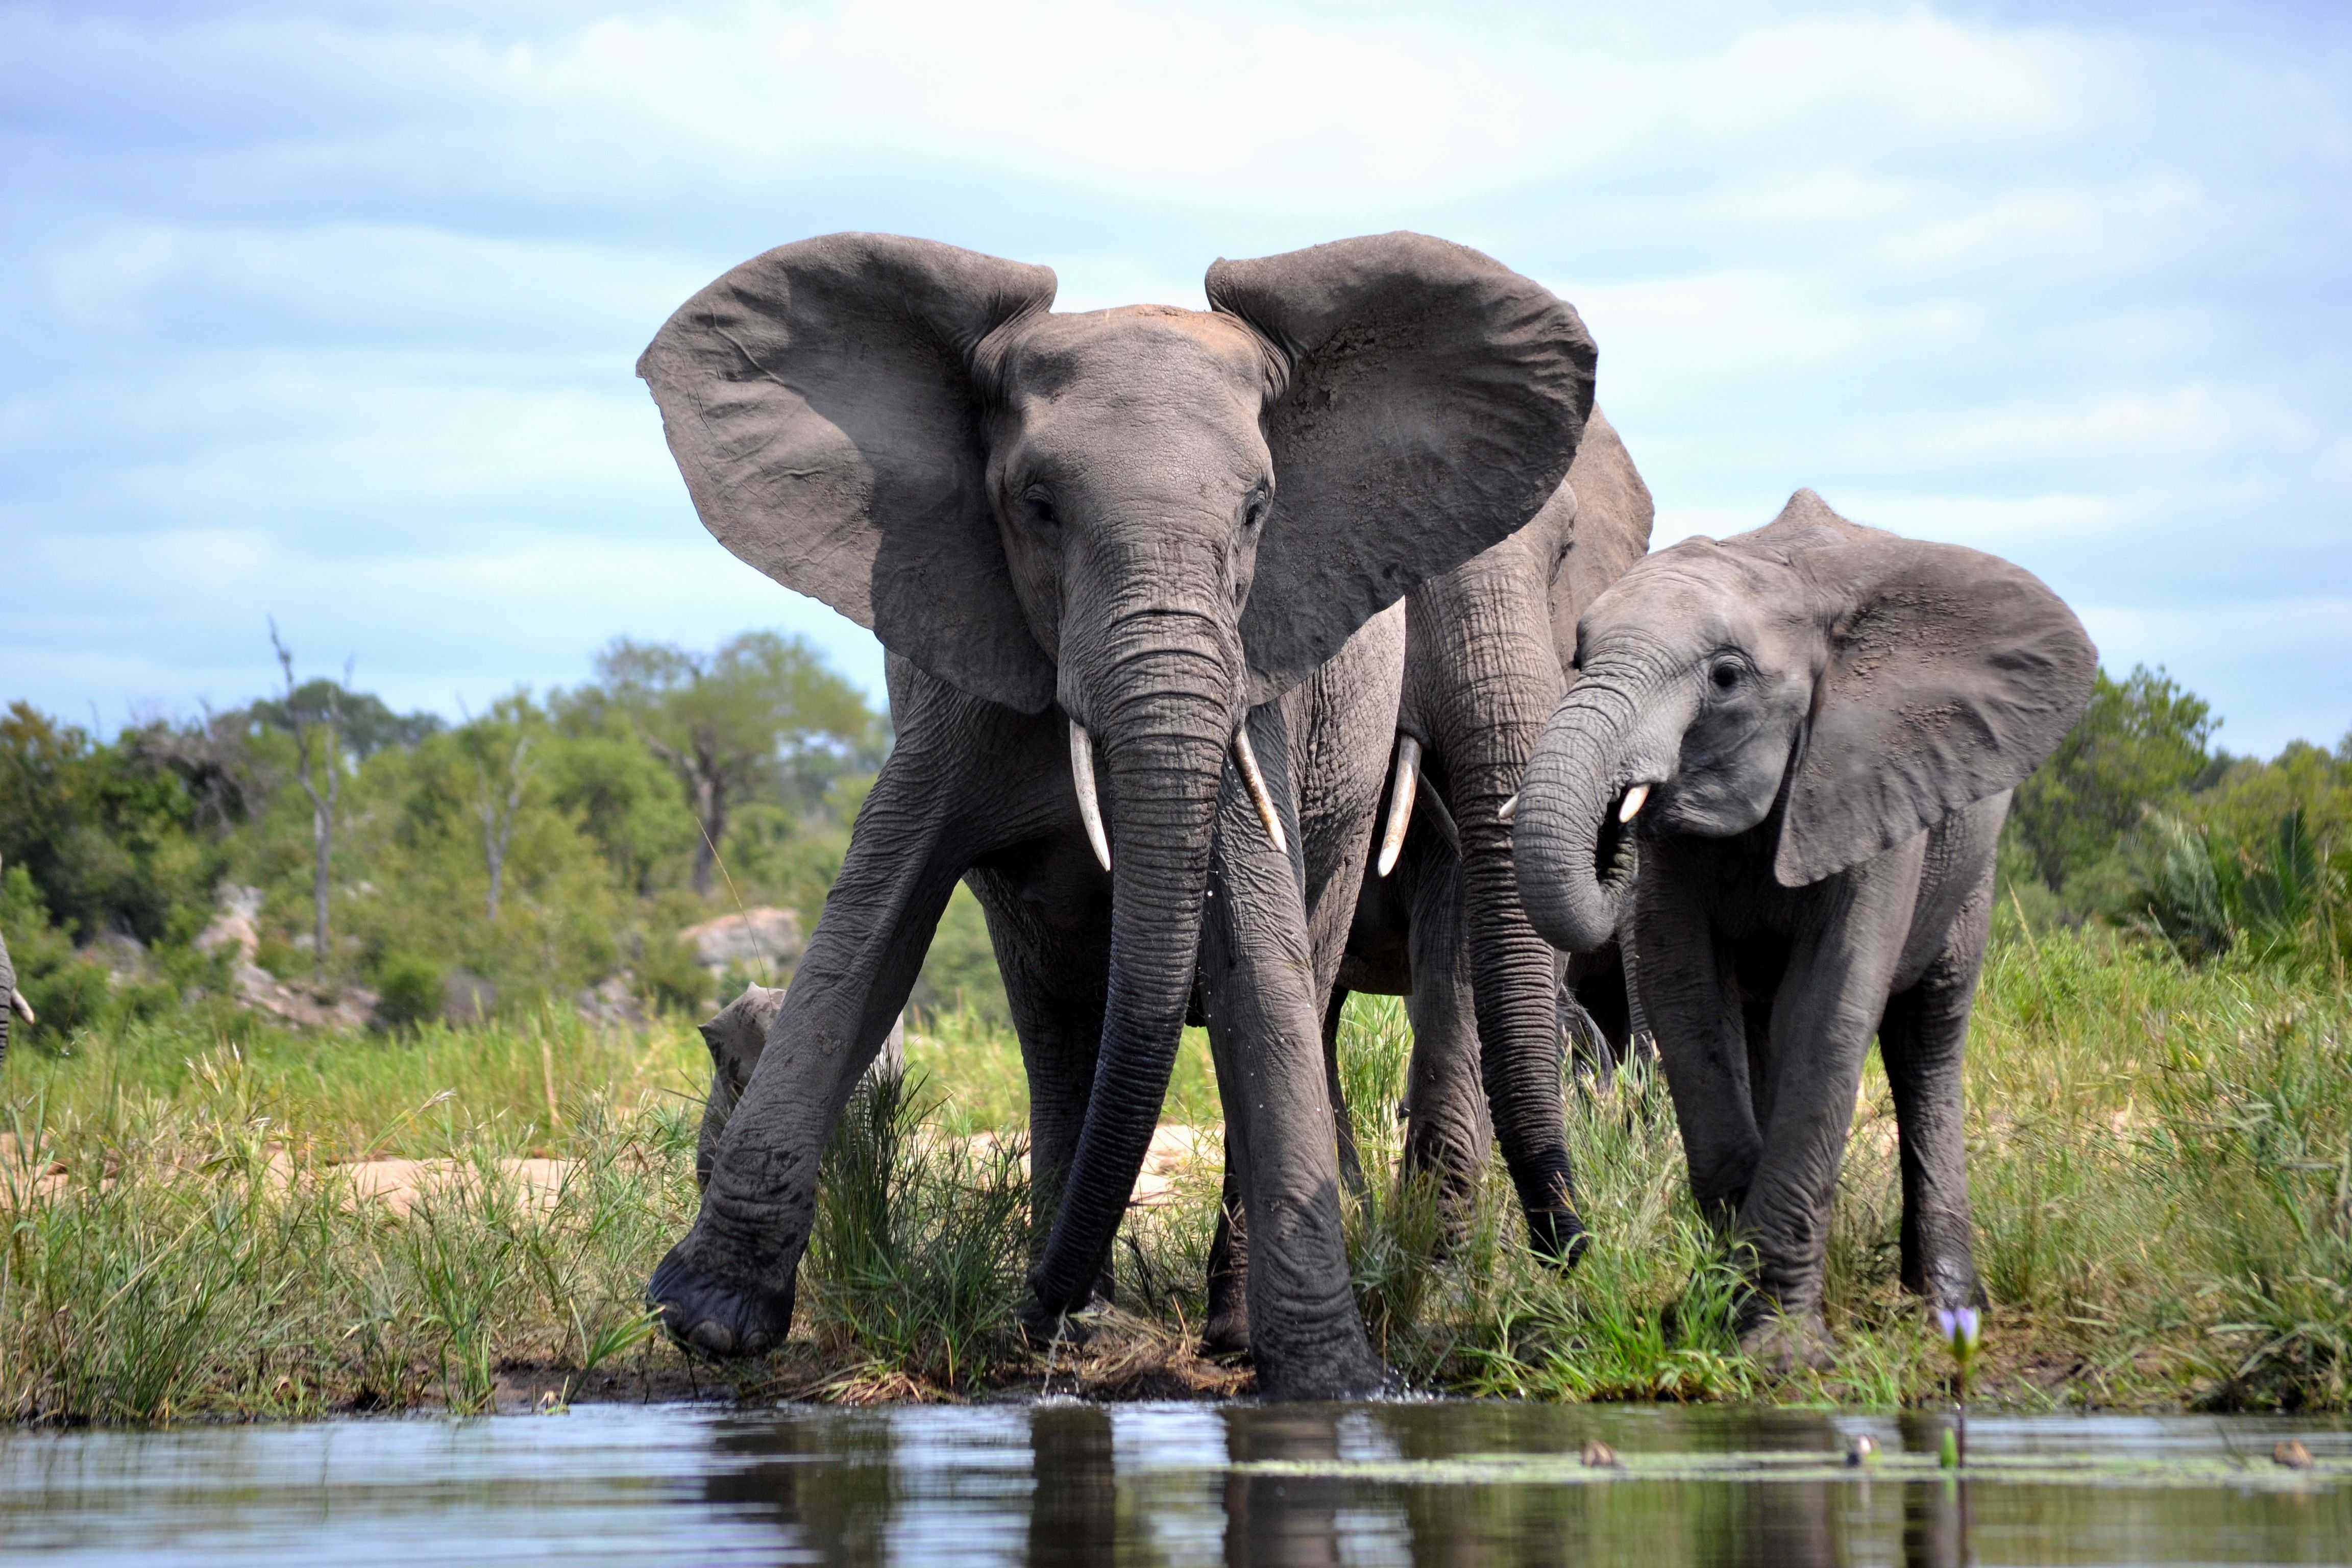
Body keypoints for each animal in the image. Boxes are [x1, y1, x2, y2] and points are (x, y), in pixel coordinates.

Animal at [635, 231, 1596, 1397]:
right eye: (1036, 505)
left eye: (1256, 511)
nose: (1576, 1253)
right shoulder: (957, 681)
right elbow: (872, 916)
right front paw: (706, 1320)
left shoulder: (1252, 684)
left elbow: (1257, 953)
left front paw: (1333, 1381)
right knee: (1058, 1012)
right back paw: (1080, 1323)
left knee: (1300, 965)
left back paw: (1193, 1327)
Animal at [1512, 490, 2095, 1367]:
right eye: (1579, 654)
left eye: (1726, 678)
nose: (1614, 827)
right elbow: (1689, 1006)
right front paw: (1712, 1310)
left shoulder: (1872, 774)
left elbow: (1831, 1009)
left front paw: (1778, 1350)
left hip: (1971, 858)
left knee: (1928, 1036)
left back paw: (1949, 1306)